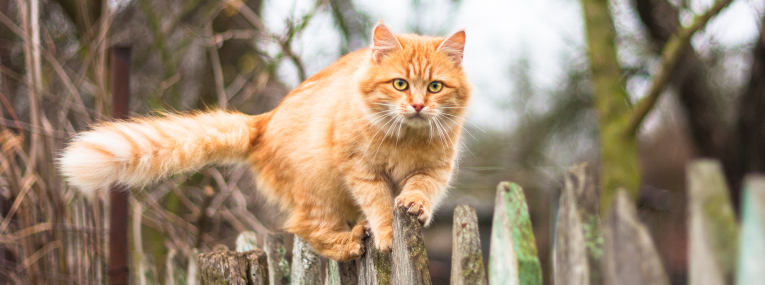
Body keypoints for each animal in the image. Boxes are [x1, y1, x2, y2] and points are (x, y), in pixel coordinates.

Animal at [59, 22, 468, 260]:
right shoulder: (361, 170)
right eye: (400, 84)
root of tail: (264, 122)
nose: (417, 105)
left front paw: (414, 205)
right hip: (318, 190)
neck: (406, 138)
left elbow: (419, 190)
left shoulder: (435, 170)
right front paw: (385, 235)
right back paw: (351, 242)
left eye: (435, 87)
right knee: (307, 229)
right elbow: (380, 205)